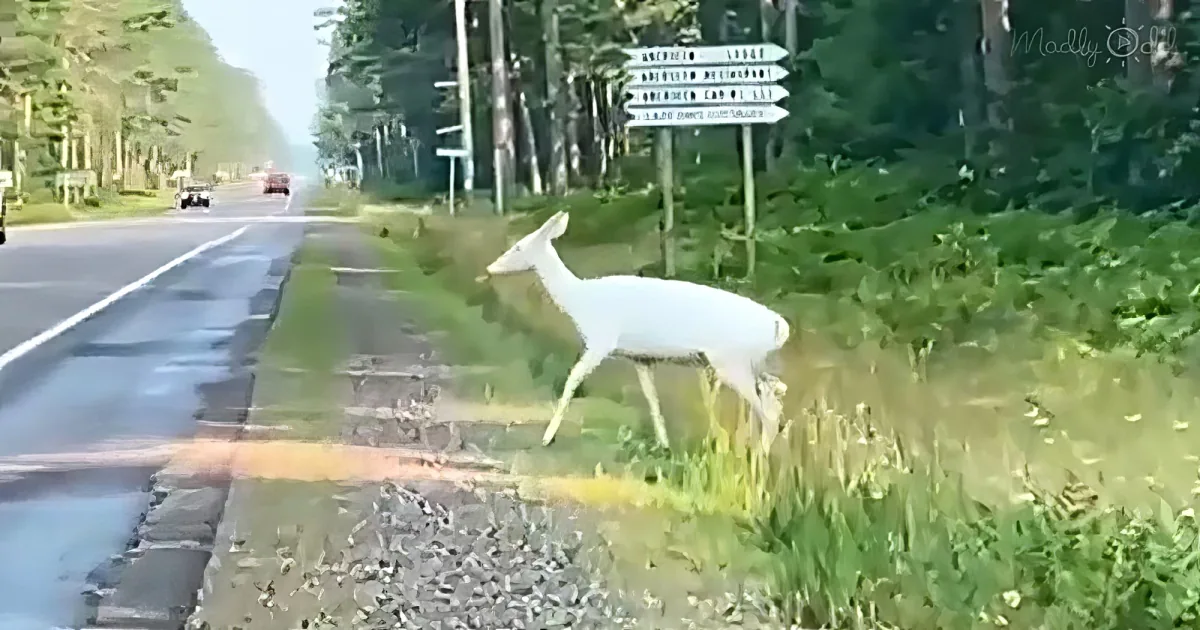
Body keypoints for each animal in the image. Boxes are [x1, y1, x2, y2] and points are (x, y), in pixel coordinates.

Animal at [483, 210, 791, 452]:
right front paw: (664, 444)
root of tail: (780, 326)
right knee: (775, 396)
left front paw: (547, 438)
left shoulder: (601, 341)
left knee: (767, 411)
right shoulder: (640, 357)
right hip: (751, 364)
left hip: (731, 361)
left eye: (519, 247)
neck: (581, 302)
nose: (490, 267)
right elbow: (651, 398)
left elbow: (572, 380)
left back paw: (759, 457)